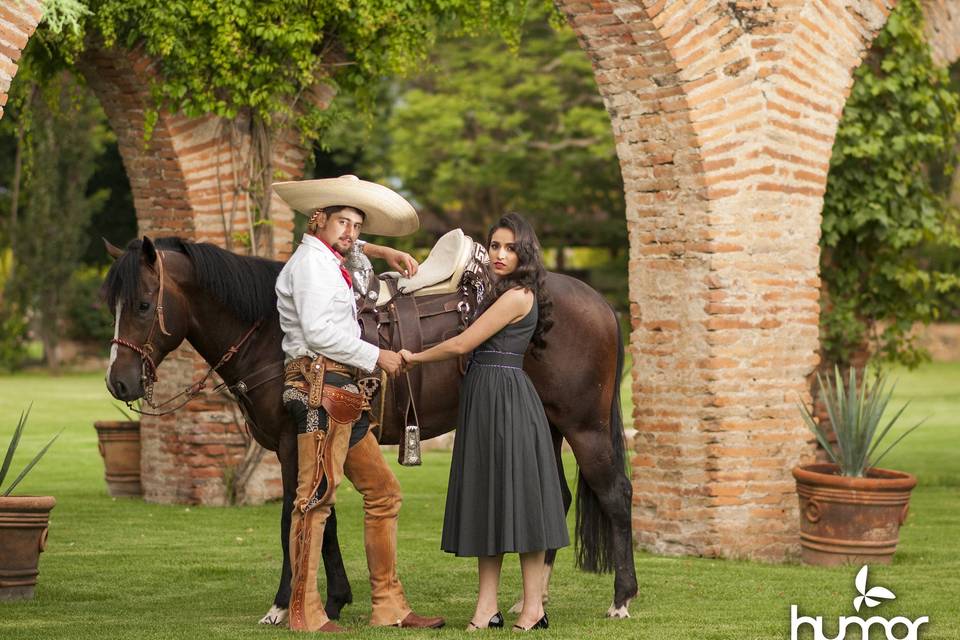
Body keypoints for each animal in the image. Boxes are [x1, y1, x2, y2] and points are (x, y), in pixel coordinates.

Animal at [101, 235, 636, 620]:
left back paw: (621, 598)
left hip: (585, 426)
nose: (118, 380)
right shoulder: (317, 439)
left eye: (144, 305)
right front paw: (336, 598)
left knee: (615, 495)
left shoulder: (291, 444)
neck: (274, 331)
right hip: (548, 424)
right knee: (555, 498)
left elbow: (292, 516)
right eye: (114, 306)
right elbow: (325, 516)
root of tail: (599, 303)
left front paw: (282, 604)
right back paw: (532, 600)